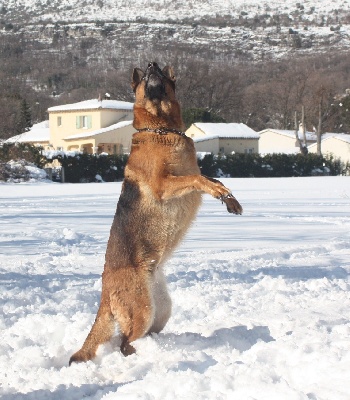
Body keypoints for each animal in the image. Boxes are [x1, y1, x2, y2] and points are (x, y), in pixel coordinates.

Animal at [69, 61, 243, 364]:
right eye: (147, 75)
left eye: (160, 71)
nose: (151, 64)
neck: (160, 130)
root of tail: (104, 291)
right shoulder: (164, 184)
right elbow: (200, 179)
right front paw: (221, 194)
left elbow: (211, 178)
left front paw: (229, 199)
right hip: (143, 311)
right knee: (123, 342)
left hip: (161, 310)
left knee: (136, 336)